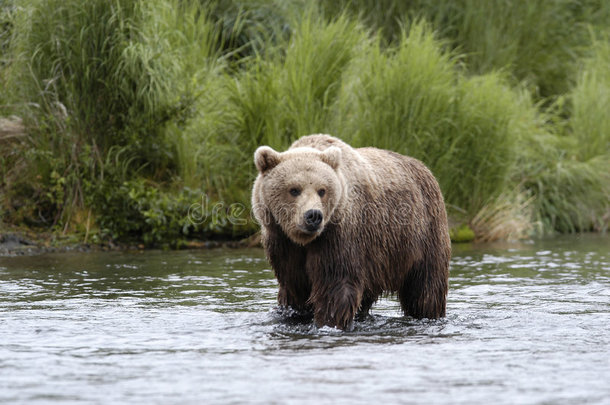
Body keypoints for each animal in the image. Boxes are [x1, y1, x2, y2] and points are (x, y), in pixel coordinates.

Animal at [249, 133, 448, 328]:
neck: (305, 240)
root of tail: (424, 167)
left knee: (425, 287)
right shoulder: (282, 242)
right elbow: (295, 288)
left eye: (322, 190)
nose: (313, 215)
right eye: (294, 190)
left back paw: (427, 314)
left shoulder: (339, 237)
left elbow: (335, 286)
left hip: (421, 235)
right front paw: (294, 314)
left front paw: (328, 321)